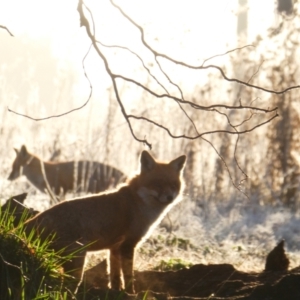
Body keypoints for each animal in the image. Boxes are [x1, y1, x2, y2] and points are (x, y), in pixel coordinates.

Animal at [24, 151, 185, 292]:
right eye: (157, 184)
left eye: (173, 185)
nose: (170, 197)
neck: (139, 203)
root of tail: (33, 221)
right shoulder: (128, 245)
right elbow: (128, 275)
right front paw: (131, 292)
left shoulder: (114, 248)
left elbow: (115, 275)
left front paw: (116, 291)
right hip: (77, 262)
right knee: (63, 289)